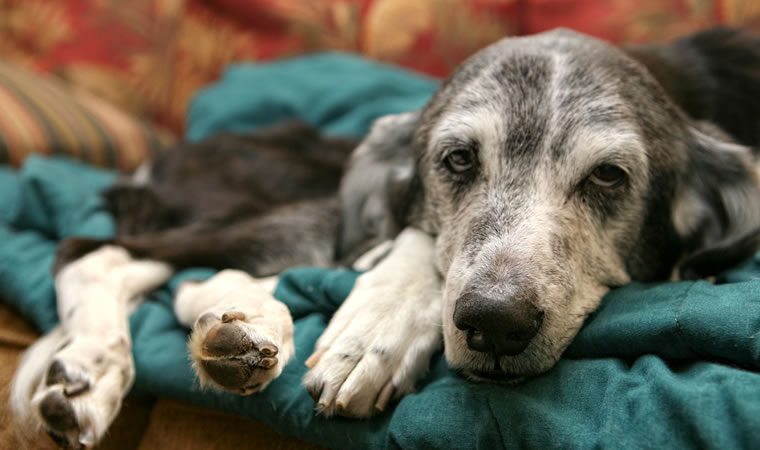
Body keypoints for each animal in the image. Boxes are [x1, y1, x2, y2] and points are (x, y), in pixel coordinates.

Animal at [10, 27, 760, 446]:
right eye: (456, 160)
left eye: (608, 175)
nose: (495, 323)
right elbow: (419, 244)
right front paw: (377, 329)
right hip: (305, 213)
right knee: (94, 252)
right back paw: (105, 364)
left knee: (182, 276)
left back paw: (236, 331)